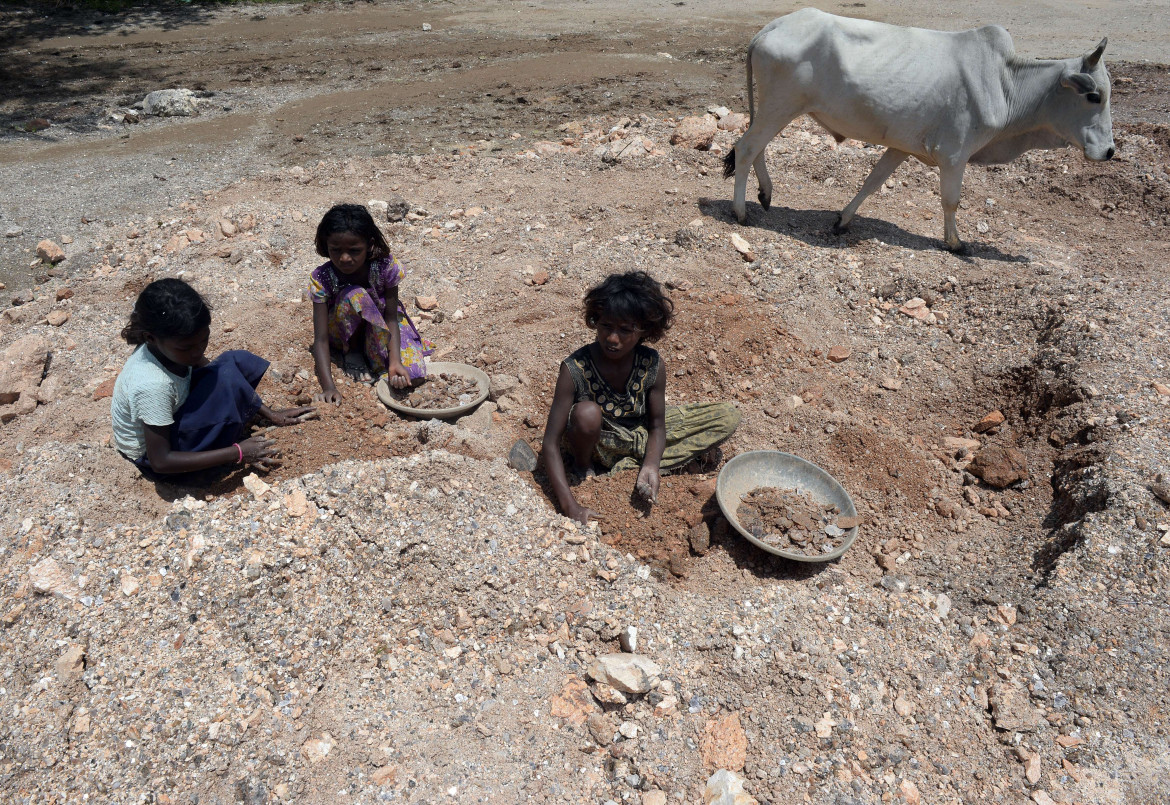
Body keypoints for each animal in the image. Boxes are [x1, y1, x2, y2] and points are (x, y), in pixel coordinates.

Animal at [720, 7, 1113, 250]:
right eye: (1094, 96)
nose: (1109, 151)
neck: (1006, 82)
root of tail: (772, 27)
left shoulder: (901, 146)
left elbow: (872, 182)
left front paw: (843, 220)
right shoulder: (955, 155)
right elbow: (951, 200)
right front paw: (955, 243)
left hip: (775, 109)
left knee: (754, 148)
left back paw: (766, 193)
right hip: (780, 107)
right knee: (747, 148)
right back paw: (741, 213)